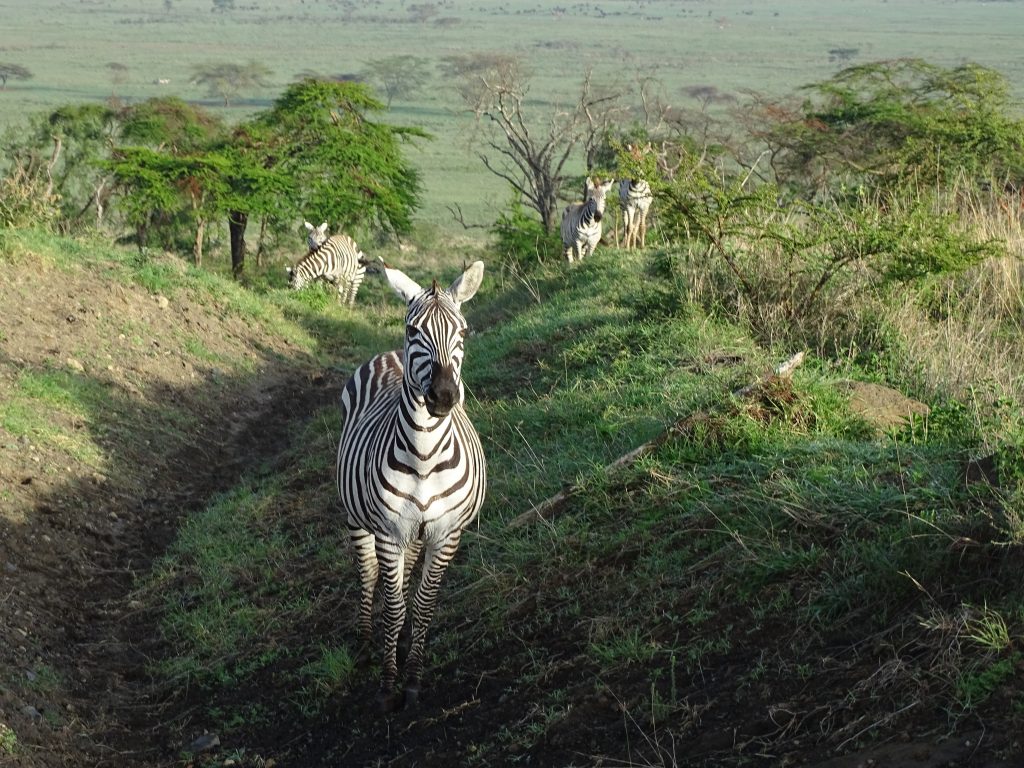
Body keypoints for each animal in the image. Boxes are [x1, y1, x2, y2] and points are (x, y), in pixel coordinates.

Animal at [331, 260, 483, 716]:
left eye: (463, 331)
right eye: (413, 330)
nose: (444, 396)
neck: (425, 458)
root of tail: (388, 356)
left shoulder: (446, 533)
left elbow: (423, 604)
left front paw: (412, 679)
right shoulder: (389, 532)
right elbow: (396, 604)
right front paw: (387, 683)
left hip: (417, 532)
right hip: (357, 517)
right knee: (368, 573)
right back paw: (368, 642)